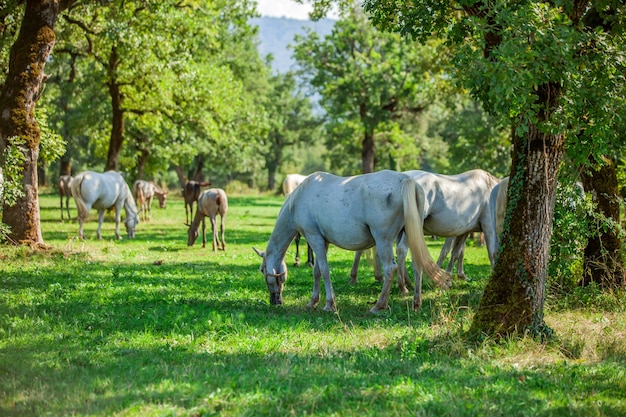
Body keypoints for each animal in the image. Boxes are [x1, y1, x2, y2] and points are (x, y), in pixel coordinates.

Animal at [251, 169, 450, 312]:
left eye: (262, 270)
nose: (275, 301)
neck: (299, 198)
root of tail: (406, 181)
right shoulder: (322, 242)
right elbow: (316, 271)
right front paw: (313, 301)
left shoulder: (314, 238)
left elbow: (324, 271)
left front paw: (329, 304)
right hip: (410, 236)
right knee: (417, 266)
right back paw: (416, 303)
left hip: (383, 240)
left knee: (390, 268)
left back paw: (379, 305)